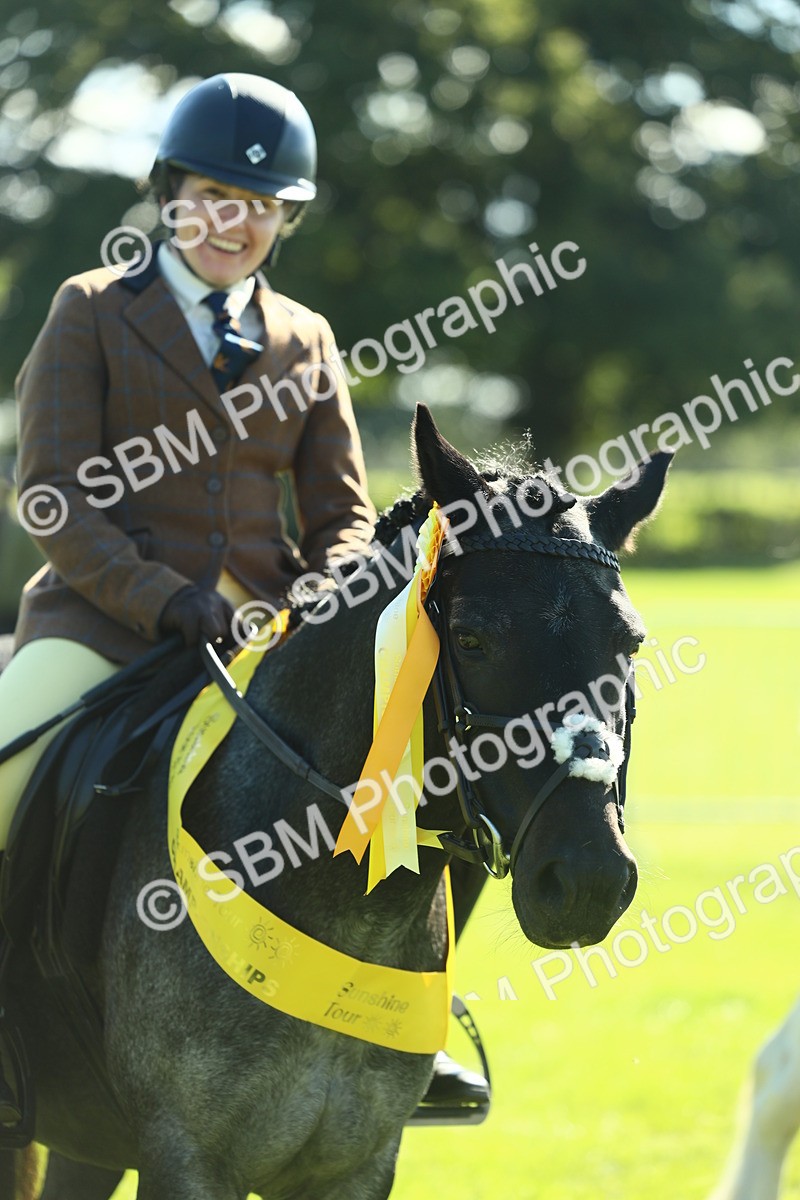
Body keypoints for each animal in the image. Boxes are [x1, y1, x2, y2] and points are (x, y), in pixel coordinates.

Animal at [0, 405, 671, 1200]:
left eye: (630, 643)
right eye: (470, 638)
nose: (590, 881)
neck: (348, 918)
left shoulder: (358, 1164)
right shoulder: (185, 1156)